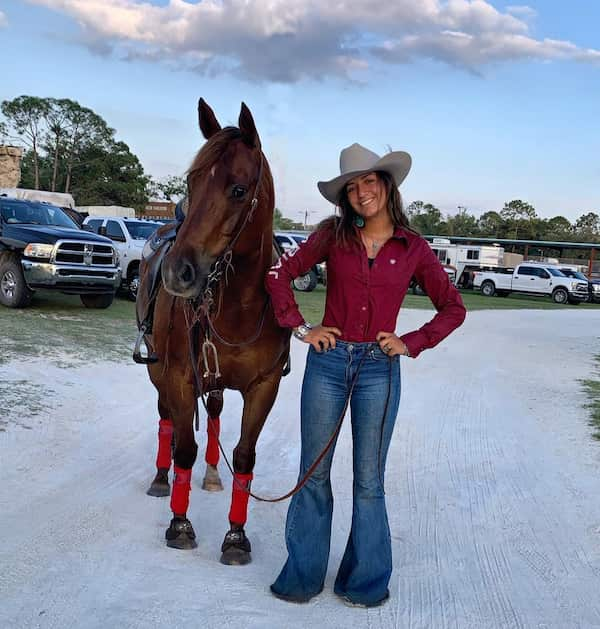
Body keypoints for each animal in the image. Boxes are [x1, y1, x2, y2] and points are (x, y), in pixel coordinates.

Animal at [142, 99, 290, 564]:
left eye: (238, 190)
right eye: (191, 181)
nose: (179, 272)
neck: (240, 306)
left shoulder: (264, 386)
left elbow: (243, 457)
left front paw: (236, 536)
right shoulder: (179, 376)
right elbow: (183, 445)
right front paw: (180, 524)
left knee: (215, 415)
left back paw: (210, 473)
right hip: (159, 371)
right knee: (167, 420)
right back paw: (161, 477)